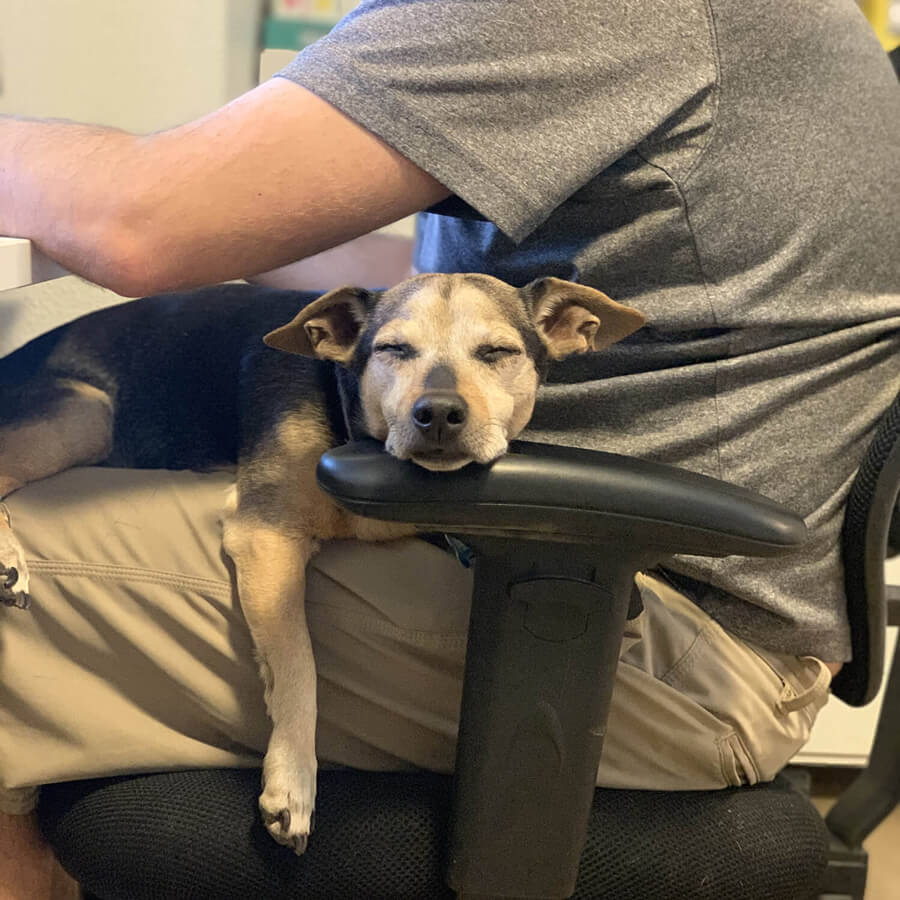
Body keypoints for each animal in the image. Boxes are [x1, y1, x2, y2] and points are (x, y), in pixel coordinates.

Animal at [0, 272, 648, 852]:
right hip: (88, 412)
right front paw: (292, 782)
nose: (437, 414)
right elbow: (298, 664)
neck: (357, 431)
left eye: (497, 353)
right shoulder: (265, 533)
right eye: (391, 349)